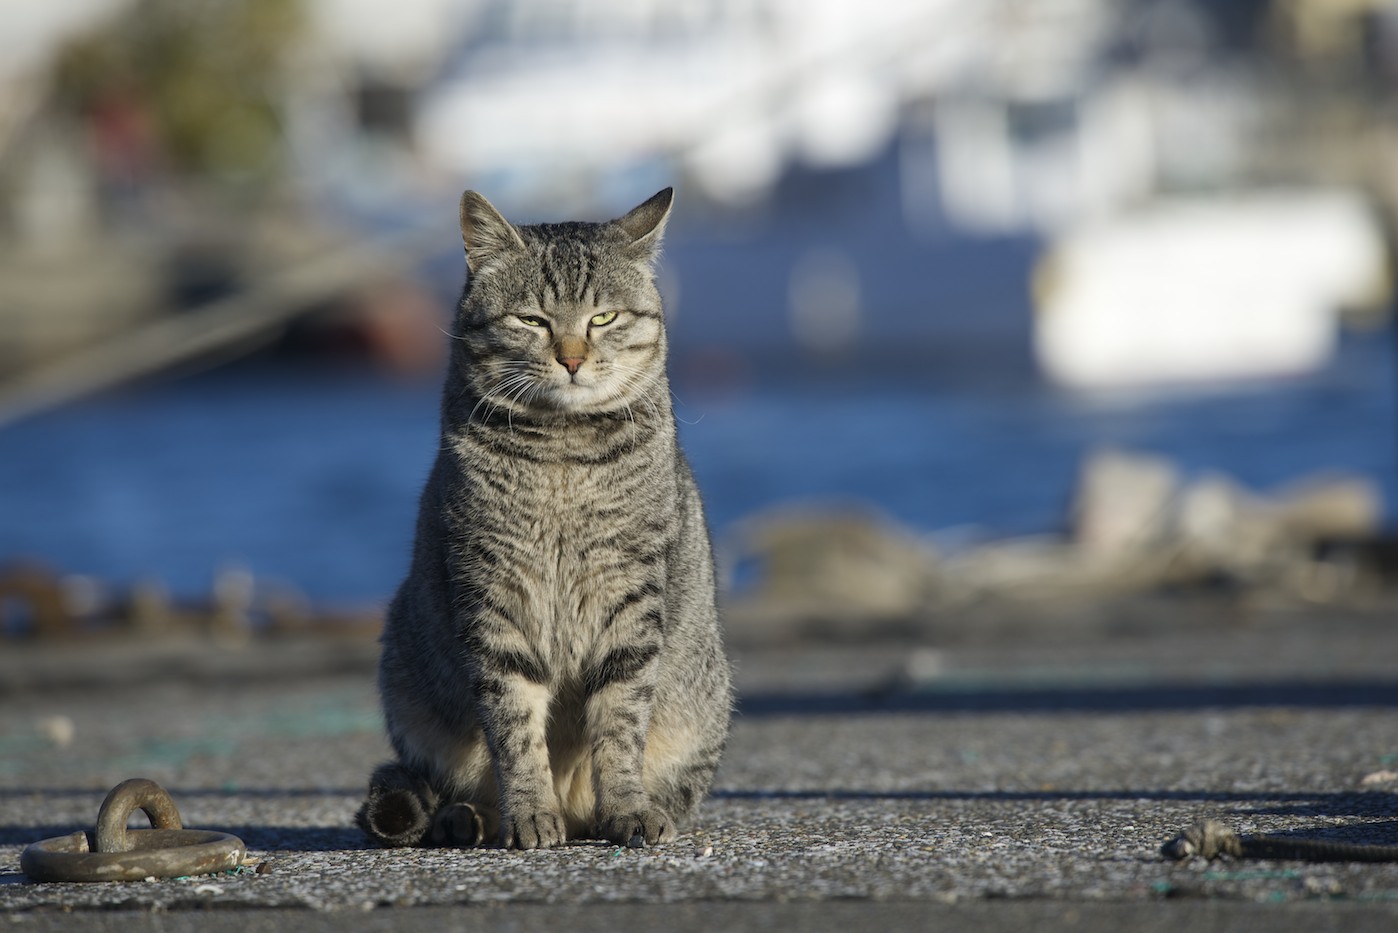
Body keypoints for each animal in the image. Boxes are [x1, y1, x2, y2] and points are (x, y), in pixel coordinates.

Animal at [357, 186, 732, 850]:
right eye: (532, 320)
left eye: (603, 318)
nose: (573, 358)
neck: (563, 454)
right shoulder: (492, 595)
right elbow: (515, 726)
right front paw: (530, 812)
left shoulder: (630, 596)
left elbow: (621, 720)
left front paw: (628, 809)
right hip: (407, 684)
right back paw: (471, 818)